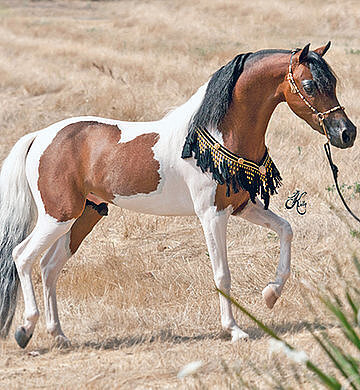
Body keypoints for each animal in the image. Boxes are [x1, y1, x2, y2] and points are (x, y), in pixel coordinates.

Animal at [0, 42, 356, 348]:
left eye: (334, 81)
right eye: (309, 85)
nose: (346, 133)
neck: (215, 132)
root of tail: (39, 137)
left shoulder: (243, 206)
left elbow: (286, 229)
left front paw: (271, 294)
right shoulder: (212, 215)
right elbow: (222, 273)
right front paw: (234, 329)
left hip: (85, 216)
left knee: (49, 266)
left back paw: (59, 335)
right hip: (57, 216)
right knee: (23, 256)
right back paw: (24, 329)